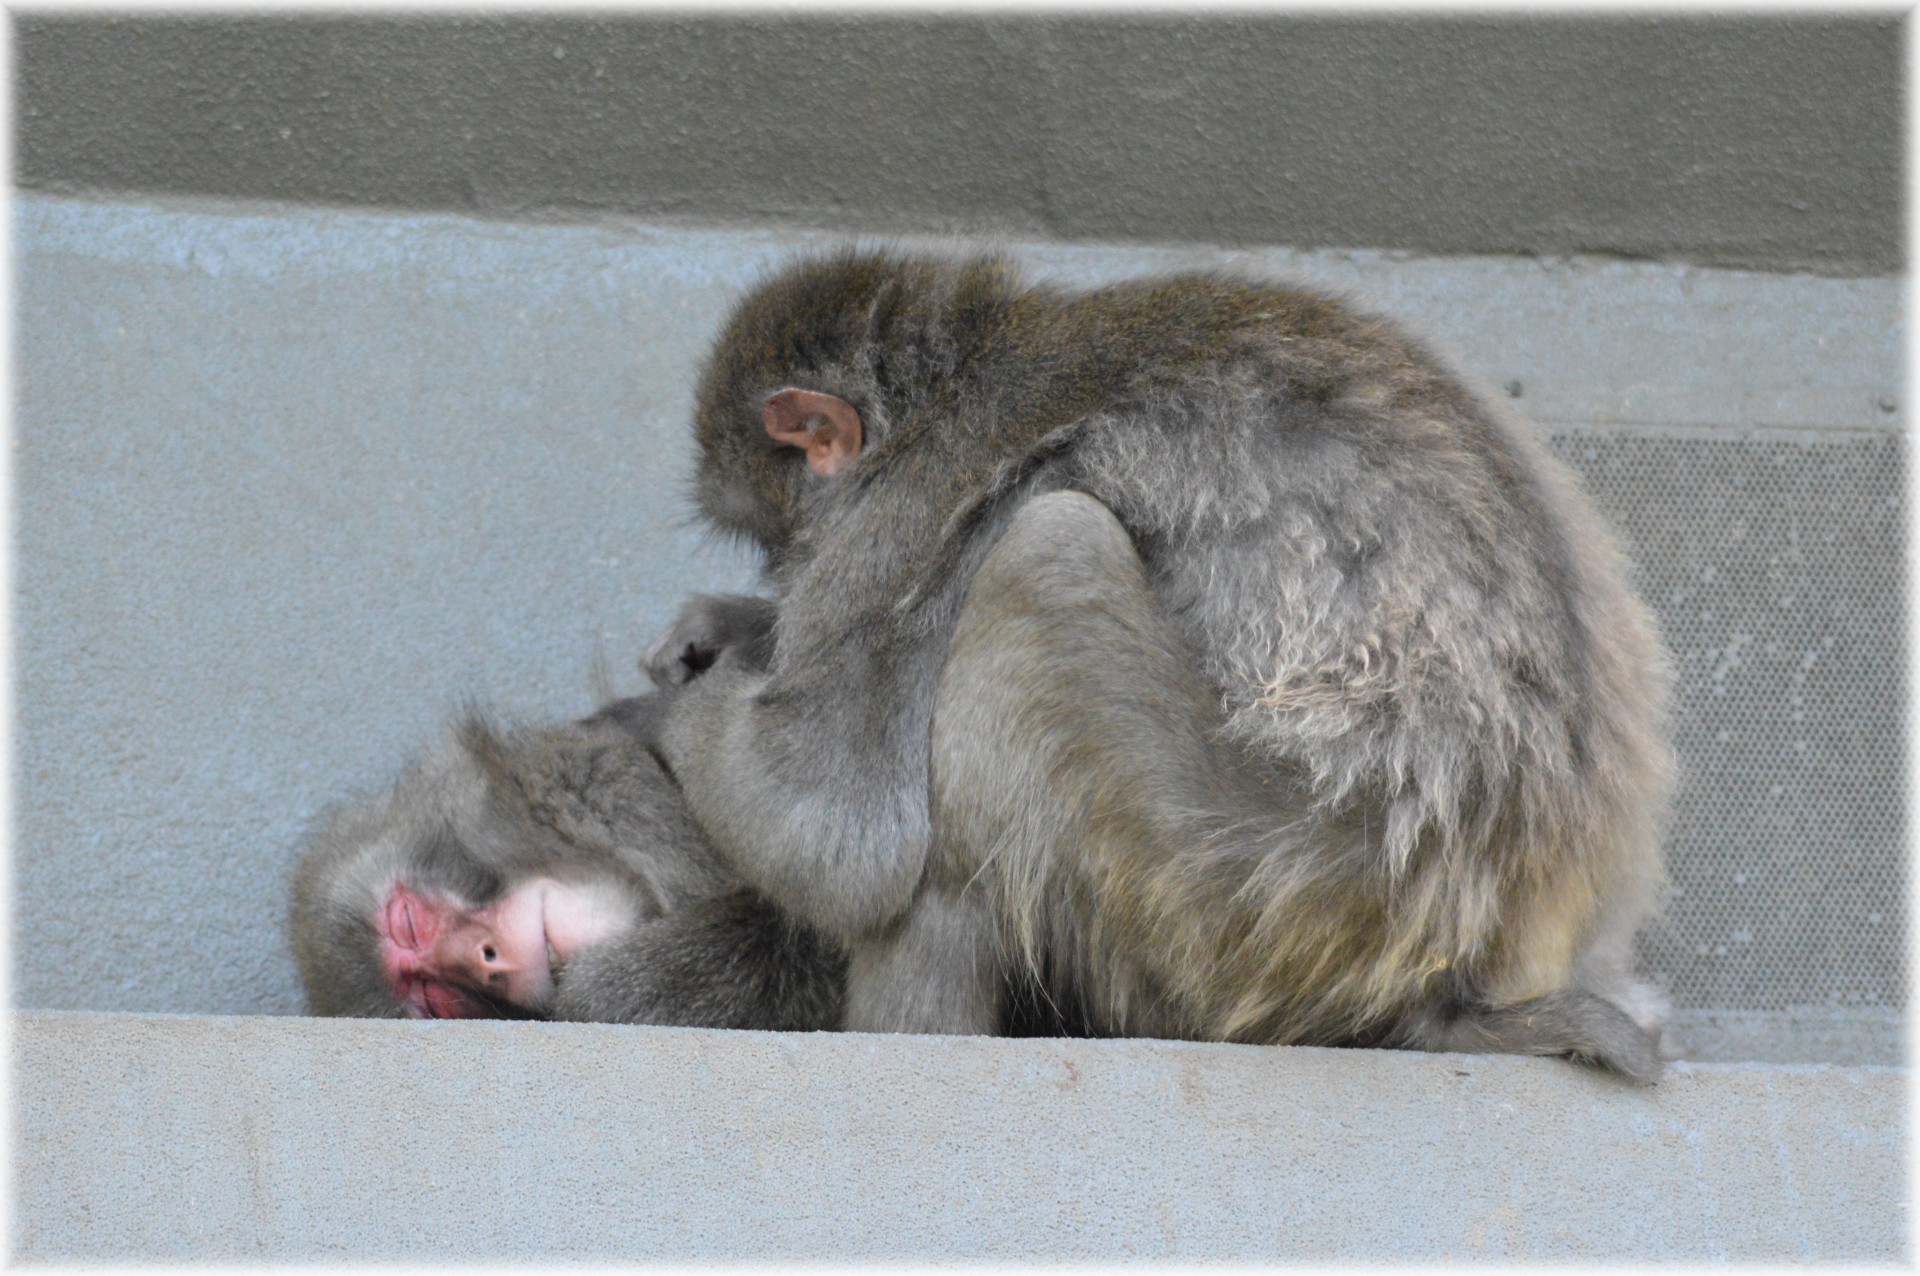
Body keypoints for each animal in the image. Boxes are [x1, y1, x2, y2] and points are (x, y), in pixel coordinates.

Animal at [652, 245, 1674, 1074]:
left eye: (772, 535)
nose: (781, 575)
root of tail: (1464, 974)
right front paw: (725, 631)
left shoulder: (904, 515)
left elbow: (838, 840)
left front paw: (699, 697)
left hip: (1244, 898)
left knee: (1046, 554)